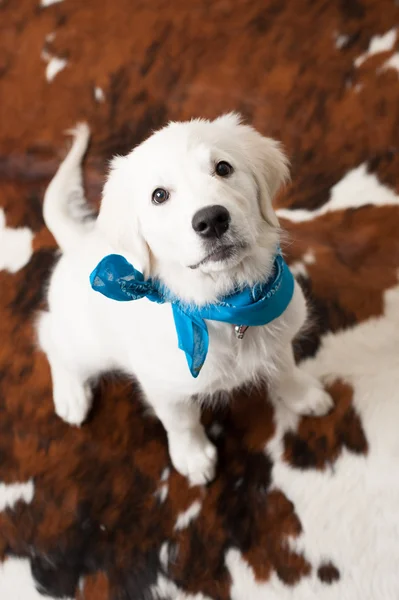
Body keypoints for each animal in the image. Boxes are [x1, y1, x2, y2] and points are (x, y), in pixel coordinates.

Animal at [37, 115, 332, 486]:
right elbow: (181, 421)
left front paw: (303, 396)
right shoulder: (164, 386)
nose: (212, 220)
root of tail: (78, 242)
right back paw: (71, 396)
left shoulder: (278, 339)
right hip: (88, 345)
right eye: (159, 195)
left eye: (223, 168)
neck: (226, 306)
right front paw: (193, 457)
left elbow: (285, 369)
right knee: (50, 337)